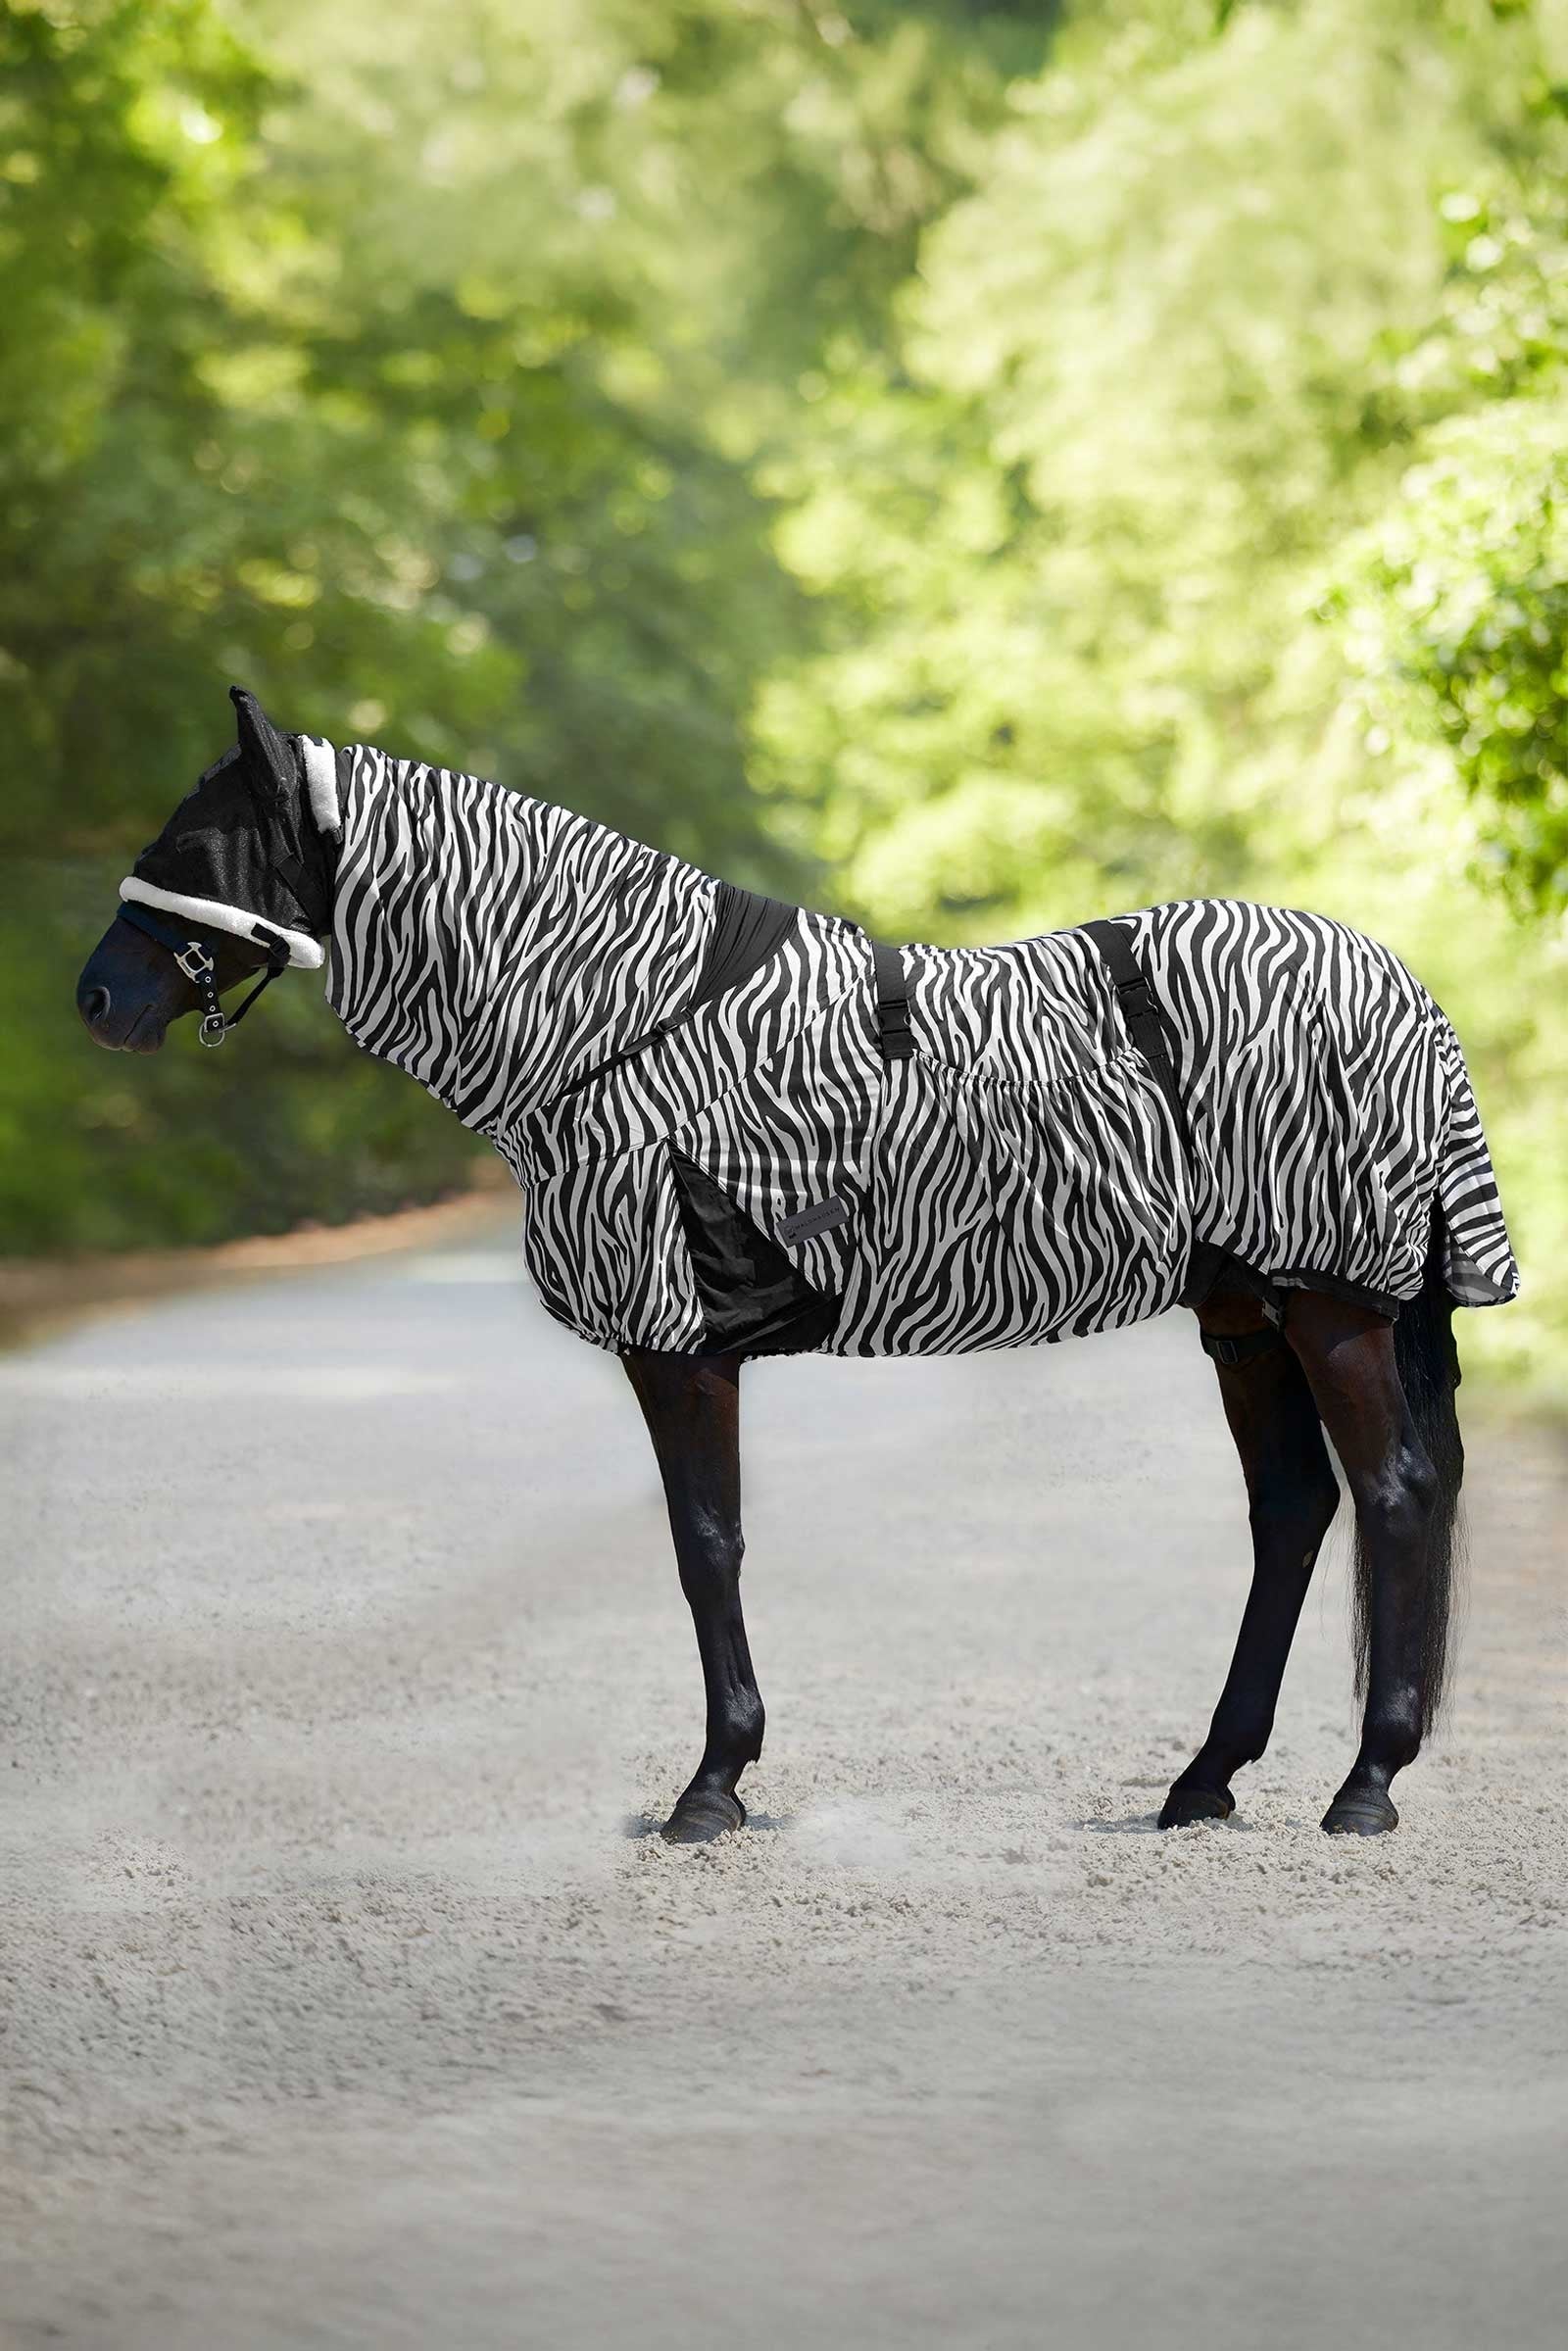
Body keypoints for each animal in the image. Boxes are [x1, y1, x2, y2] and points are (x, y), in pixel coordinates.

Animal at [77, 688, 1518, 1842]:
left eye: (195, 846)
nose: (95, 999)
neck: (616, 1022)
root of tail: (1400, 984)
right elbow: (707, 1543)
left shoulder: (676, 1341)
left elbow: (704, 1544)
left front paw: (712, 1786)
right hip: (1245, 1313)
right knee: (1295, 1509)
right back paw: (1203, 1778)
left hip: (1328, 1304)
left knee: (1393, 1493)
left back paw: (1364, 1784)